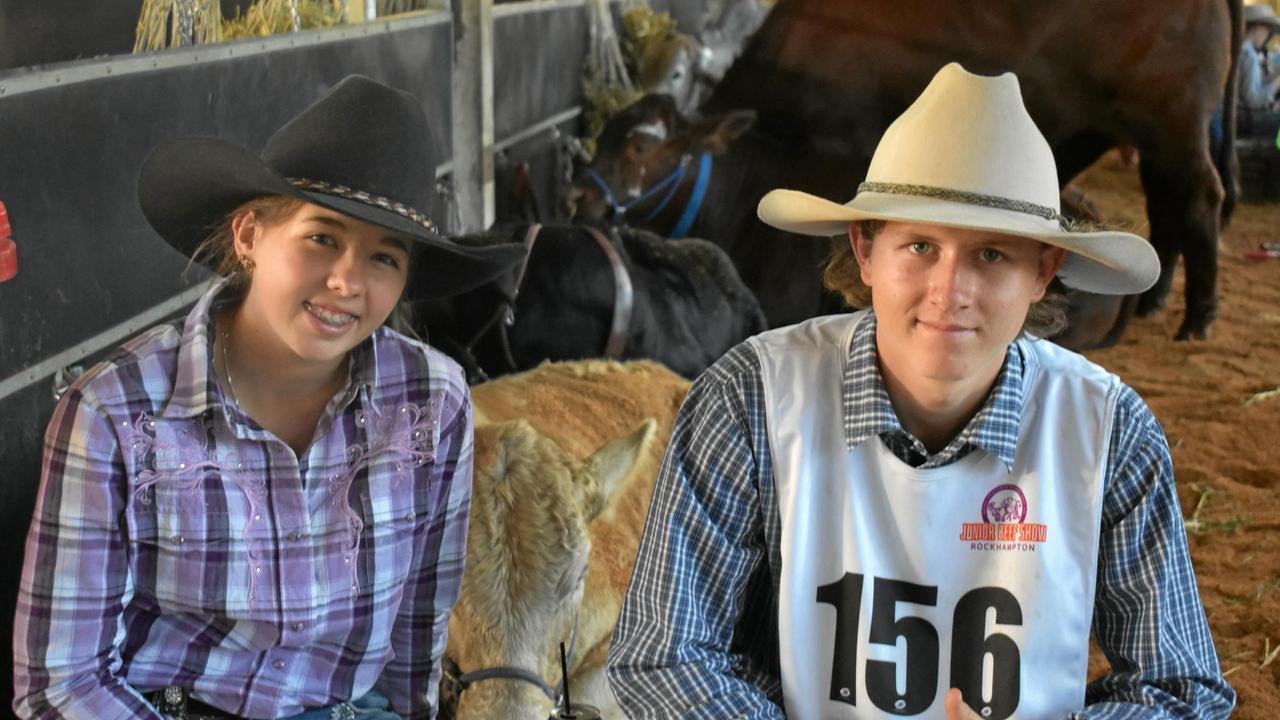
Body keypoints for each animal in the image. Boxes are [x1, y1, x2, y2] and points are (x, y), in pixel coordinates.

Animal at [570, 0, 1239, 340]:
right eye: (601, 136)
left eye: (641, 150)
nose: (583, 202)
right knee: (1166, 202)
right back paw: (1160, 297)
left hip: (1173, 122)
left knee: (1199, 197)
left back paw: (1199, 316)